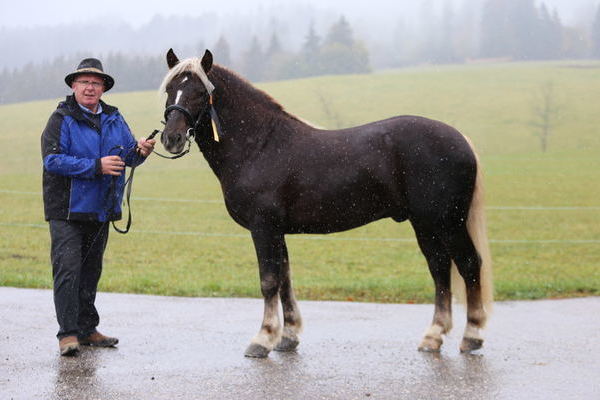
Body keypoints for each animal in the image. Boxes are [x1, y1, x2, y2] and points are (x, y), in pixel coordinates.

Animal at [158, 48, 492, 358]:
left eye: (201, 92)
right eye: (169, 88)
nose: (172, 138)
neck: (260, 145)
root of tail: (460, 139)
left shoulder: (263, 228)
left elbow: (269, 281)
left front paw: (263, 339)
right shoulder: (277, 231)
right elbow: (285, 280)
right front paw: (288, 337)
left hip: (447, 223)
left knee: (468, 264)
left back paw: (472, 335)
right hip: (425, 224)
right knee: (439, 267)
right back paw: (433, 336)